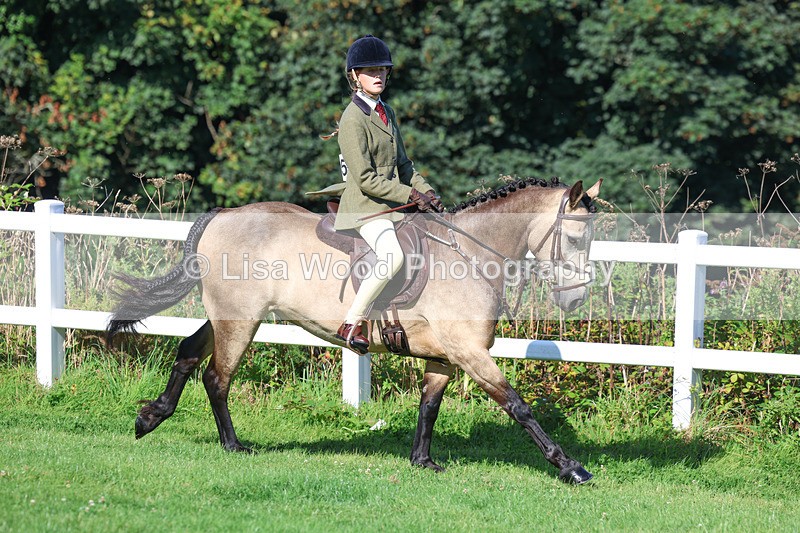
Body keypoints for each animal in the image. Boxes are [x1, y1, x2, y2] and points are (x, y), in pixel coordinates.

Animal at [106, 177, 602, 484]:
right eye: (576, 238)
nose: (576, 299)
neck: (469, 254)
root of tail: (224, 215)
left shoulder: (445, 356)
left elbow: (429, 407)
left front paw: (422, 461)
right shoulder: (469, 352)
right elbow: (519, 407)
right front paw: (570, 467)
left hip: (226, 316)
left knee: (188, 351)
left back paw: (150, 417)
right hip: (239, 320)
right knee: (216, 377)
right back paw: (233, 446)